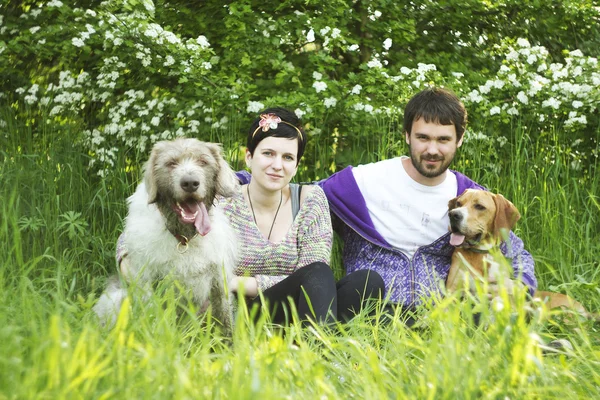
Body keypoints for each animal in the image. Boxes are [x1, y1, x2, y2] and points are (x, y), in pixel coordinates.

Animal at [92, 139, 238, 336]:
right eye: (171, 163)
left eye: (203, 161)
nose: (190, 183)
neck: (184, 238)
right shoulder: (149, 282)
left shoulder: (218, 283)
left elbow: (225, 321)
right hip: (117, 298)